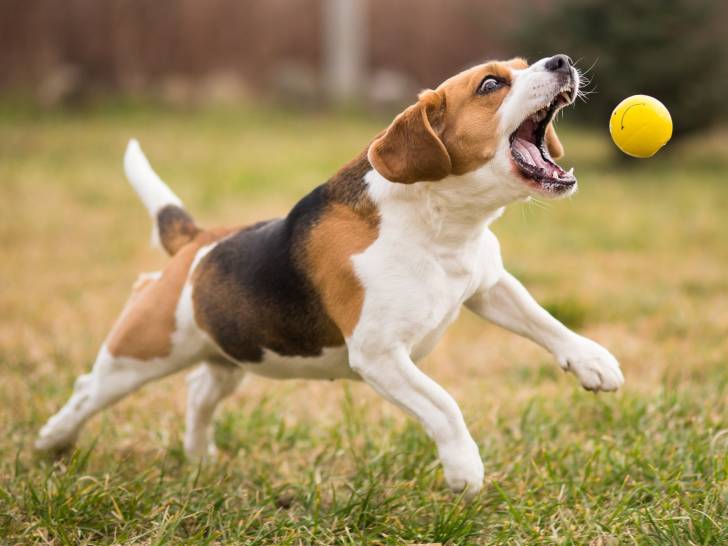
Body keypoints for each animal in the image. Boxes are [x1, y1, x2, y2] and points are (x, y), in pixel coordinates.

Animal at [37, 55, 624, 498]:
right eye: (491, 85)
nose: (561, 61)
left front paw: (594, 362)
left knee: (199, 389)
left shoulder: (488, 285)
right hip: (140, 352)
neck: (441, 224)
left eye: (525, 67)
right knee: (89, 389)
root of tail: (198, 242)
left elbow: (545, 322)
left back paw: (199, 456)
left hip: (232, 354)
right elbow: (444, 404)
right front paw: (464, 468)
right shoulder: (381, 355)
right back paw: (51, 443)